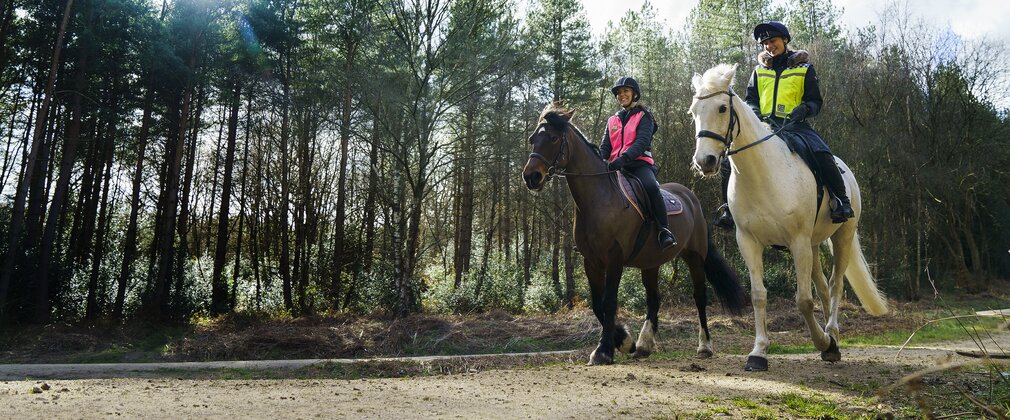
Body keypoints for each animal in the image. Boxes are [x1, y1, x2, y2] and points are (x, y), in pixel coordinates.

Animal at [521, 102, 747, 365]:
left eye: (554, 138)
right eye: (533, 139)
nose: (531, 176)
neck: (599, 199)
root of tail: (691, 198)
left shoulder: (614, 258)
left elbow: (609, 302)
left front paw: (604, 350)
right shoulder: (591, 261)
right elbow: (597, 304)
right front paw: (624, 342)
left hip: (694, 257)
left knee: (699, 297)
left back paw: (705, 346)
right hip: (651, 263)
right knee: (653, 299)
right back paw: (644, 345)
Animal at [688, 64, 888, 371]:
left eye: (722, 108)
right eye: (693, 111)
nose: (705, 161)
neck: (761, 175)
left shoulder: (797, 242)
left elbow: (803, 300)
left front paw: (823, 343)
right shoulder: (749, 242)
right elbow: (759, 295)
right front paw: (758, 352)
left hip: (841, 236)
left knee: (836, 284)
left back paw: (832, 336)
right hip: (814, 245)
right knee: (823, 287)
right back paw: (830, 336)